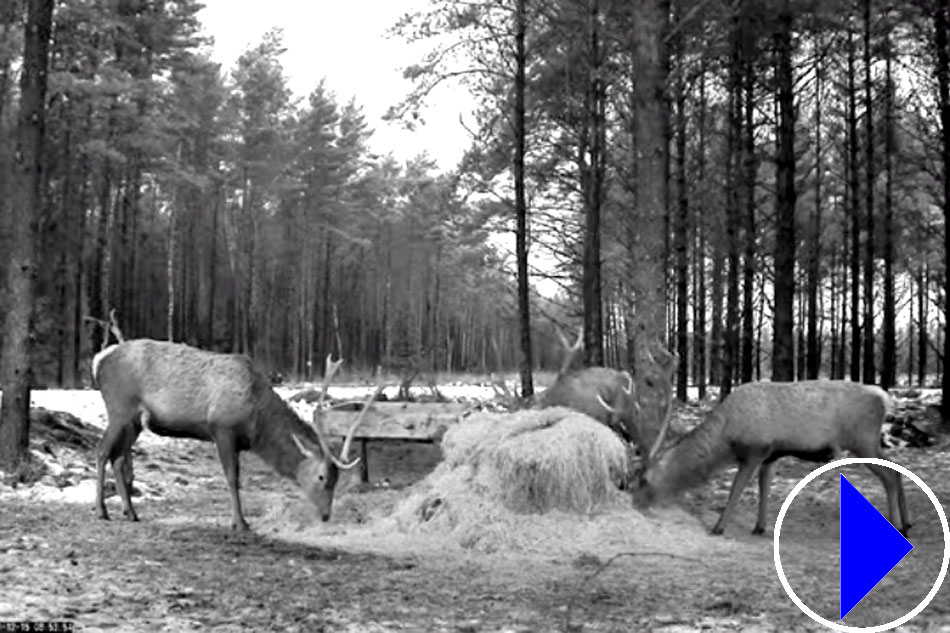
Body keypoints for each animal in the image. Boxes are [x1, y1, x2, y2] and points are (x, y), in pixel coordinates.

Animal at [93, 338, 384, 532]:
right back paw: (101, 511)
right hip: (119, 407)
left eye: (337, 479)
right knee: (102, 451)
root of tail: (99, 359)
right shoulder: (222, 428)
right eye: (321, 477)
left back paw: (130, 513)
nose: (325, 515)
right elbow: (233, 478)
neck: (257, 422)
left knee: (118, 458)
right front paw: (240, 522)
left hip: (134, 421)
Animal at [632, 378, 916, 536]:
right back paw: (908, 522)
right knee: (897, 467)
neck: (726, 438)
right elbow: (763, 488)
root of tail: (884, 399)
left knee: (889, 476)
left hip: (861, 440)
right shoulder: (770, 455)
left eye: (643, 479)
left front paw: (718, 527)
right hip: (871, 442)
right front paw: (760, 526)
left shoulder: (754, 450)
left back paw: (897, 525)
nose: (636, 504)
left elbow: (736, 489)